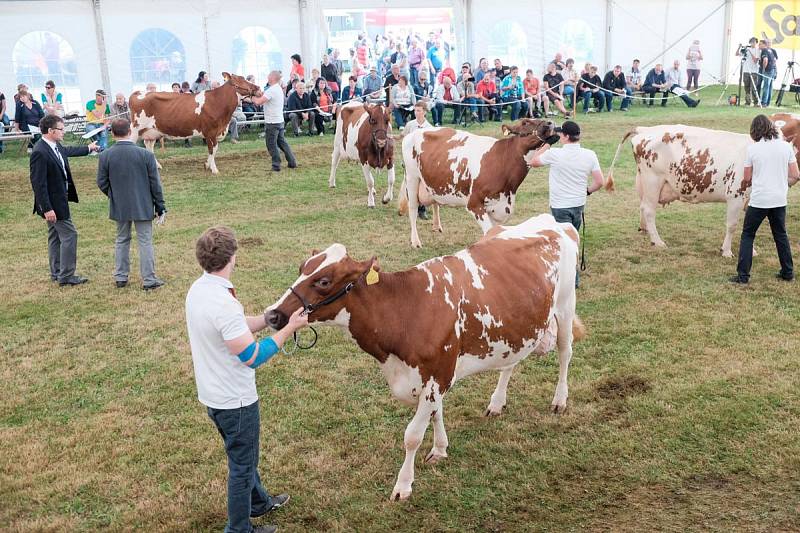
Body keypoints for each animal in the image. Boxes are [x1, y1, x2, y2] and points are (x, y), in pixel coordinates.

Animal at [129, 71, 260, 172]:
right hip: (135, 129)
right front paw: (213, 169)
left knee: (149, 147)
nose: (258, 88)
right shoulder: (210, 132)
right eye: (239, 81)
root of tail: (138, 92)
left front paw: (207, 165)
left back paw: (157, 166)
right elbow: (213, 149)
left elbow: (214, 150)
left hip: (151, 131)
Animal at [266, 212, 584, 498]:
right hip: (519, 325)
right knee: (511, 362)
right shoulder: (435, 376)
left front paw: (403, 485)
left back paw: (559, 400)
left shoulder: (437, 375)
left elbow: (412, 435)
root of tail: (555, 221)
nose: (272, 314)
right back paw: (497, 403)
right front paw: (440, 448)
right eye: (301, 267)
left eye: (323, 281)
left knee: (565, 352)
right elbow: (436, 414)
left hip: (566, 306)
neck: (408, 308)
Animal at [398, 118, 556, 247]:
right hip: (412, 177)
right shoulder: (474, 204)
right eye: (525, 122)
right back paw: (415, 241)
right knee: (413, 209)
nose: (550, 123)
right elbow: (489, 231)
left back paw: (437, 226)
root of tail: (415, 132)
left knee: (435, 202)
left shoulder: (500, 206)